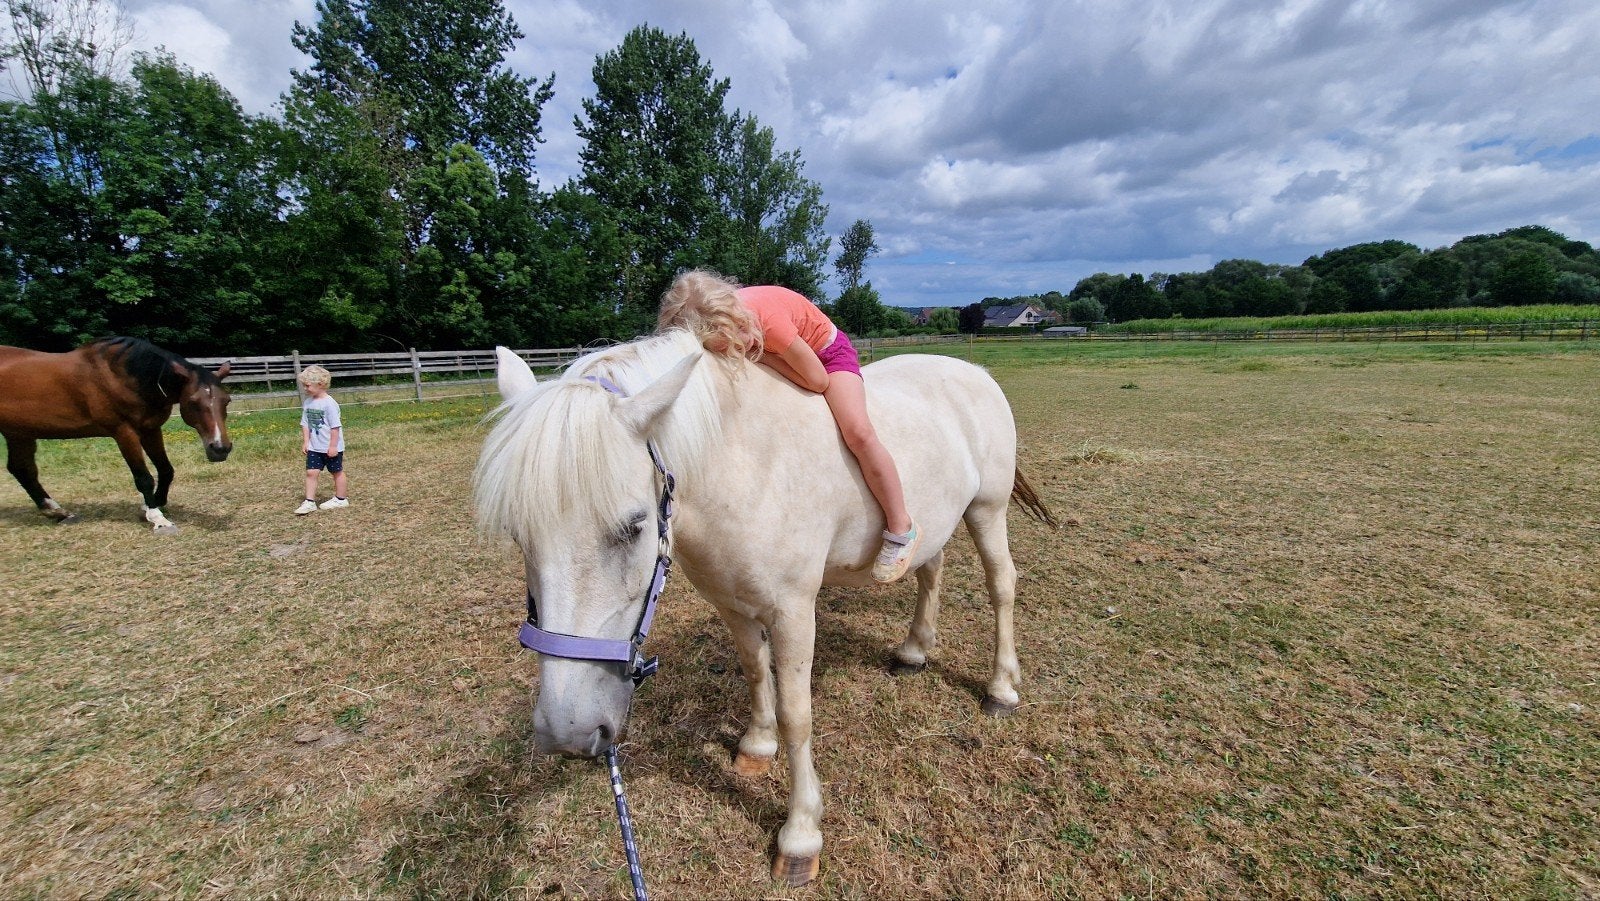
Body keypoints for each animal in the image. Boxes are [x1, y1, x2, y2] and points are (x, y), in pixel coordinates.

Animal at [0, 336, 233, 533]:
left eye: (226, 400)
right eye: (193, 402)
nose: (220, 448)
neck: (125, 377)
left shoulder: (150, 429)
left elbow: (166, 470)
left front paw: (154, 504)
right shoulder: (124, 432)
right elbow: (144, 477)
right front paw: (157, 518)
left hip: (19, 433)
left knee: (22, 470)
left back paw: (57, 512)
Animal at [473, 329, 1054, 886]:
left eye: (634, 525)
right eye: (519, 536)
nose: (567, 733)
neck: (746, 464)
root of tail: (974, 371)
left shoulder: (794, 611)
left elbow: (798, 716)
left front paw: (800, 837)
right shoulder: (733, 604)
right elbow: (756, 673)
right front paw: (756, 747)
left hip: (988, 510)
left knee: (1002, 585)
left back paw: (1001, 687)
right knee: (930, 571)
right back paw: (914, 651)